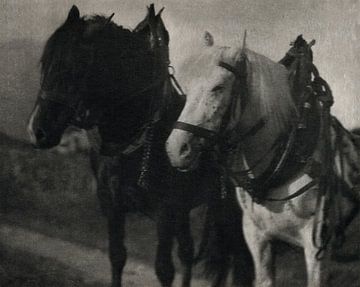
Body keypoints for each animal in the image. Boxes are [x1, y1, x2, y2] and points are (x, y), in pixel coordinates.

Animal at [26, 5, 255, 287]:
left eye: (76, 67)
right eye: (45, 62)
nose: (37, 131)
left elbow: (164, 269)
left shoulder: (165, 213)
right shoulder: (114, 208)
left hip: (229, 212)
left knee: (233, 259)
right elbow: (117, 257)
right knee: (192, 252)